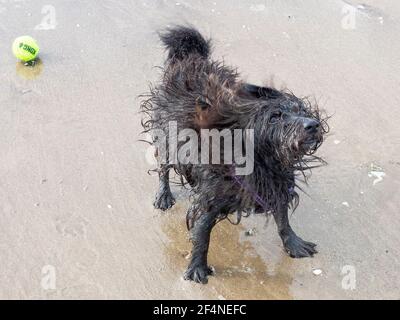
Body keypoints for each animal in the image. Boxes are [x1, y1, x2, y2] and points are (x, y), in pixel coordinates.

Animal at [141, 26, 328, 284]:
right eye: (275, 116)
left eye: (301, 110)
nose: (313, 124)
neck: (262, 160)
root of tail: (189, 61)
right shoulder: (211, 196)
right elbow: (202, 233)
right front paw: (197, 267)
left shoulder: (277, 184)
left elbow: (283, 218)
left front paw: (294, 243)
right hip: (166, 136)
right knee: (163, 166)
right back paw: (163, 195)